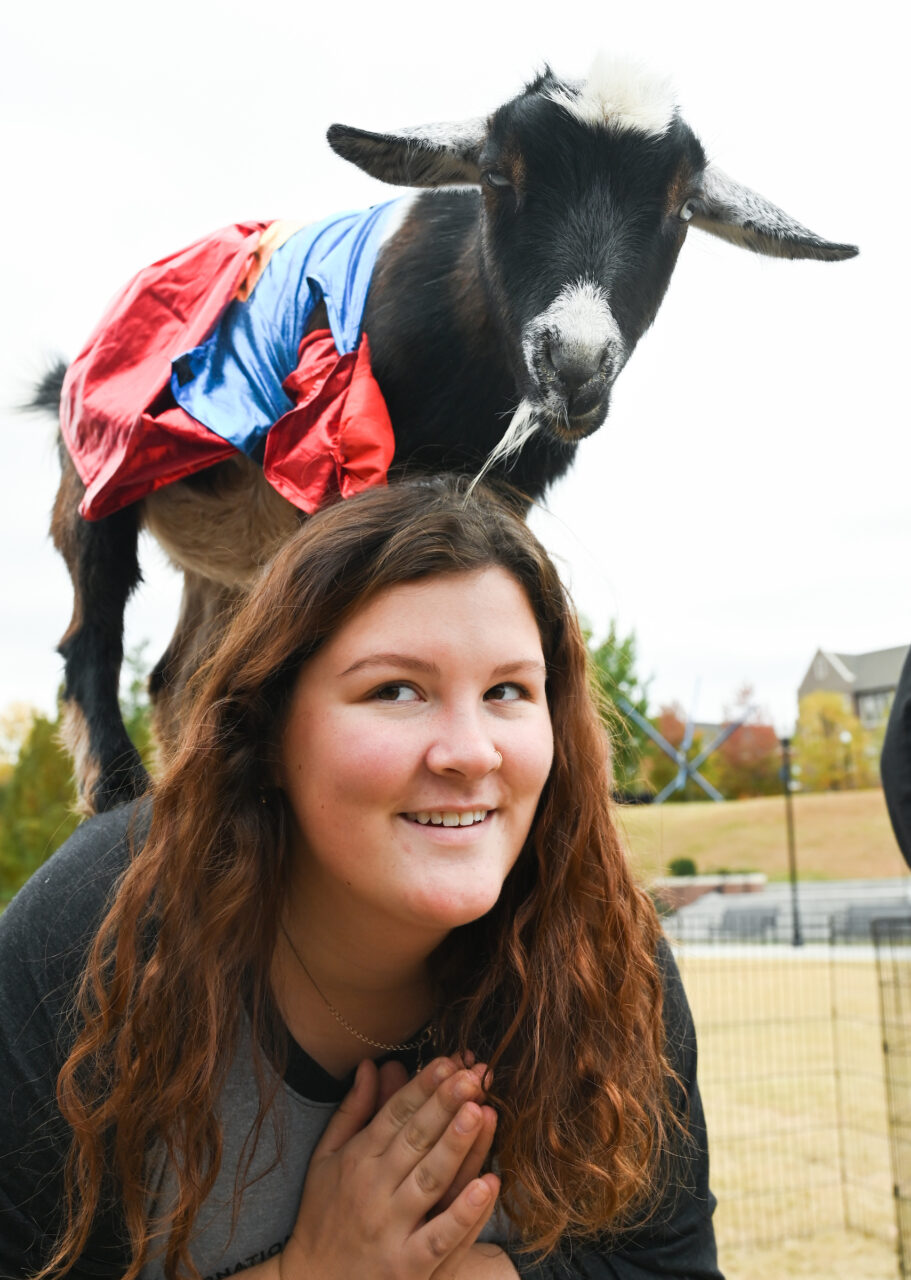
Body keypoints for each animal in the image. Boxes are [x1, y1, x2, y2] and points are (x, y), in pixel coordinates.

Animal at [44, 57, 857, 814]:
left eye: (682, 205)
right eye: (497, 174)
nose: (574, 364)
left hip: (222, 555)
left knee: (177, 674)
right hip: (97, 474)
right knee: (93, 637)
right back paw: (116, 792)